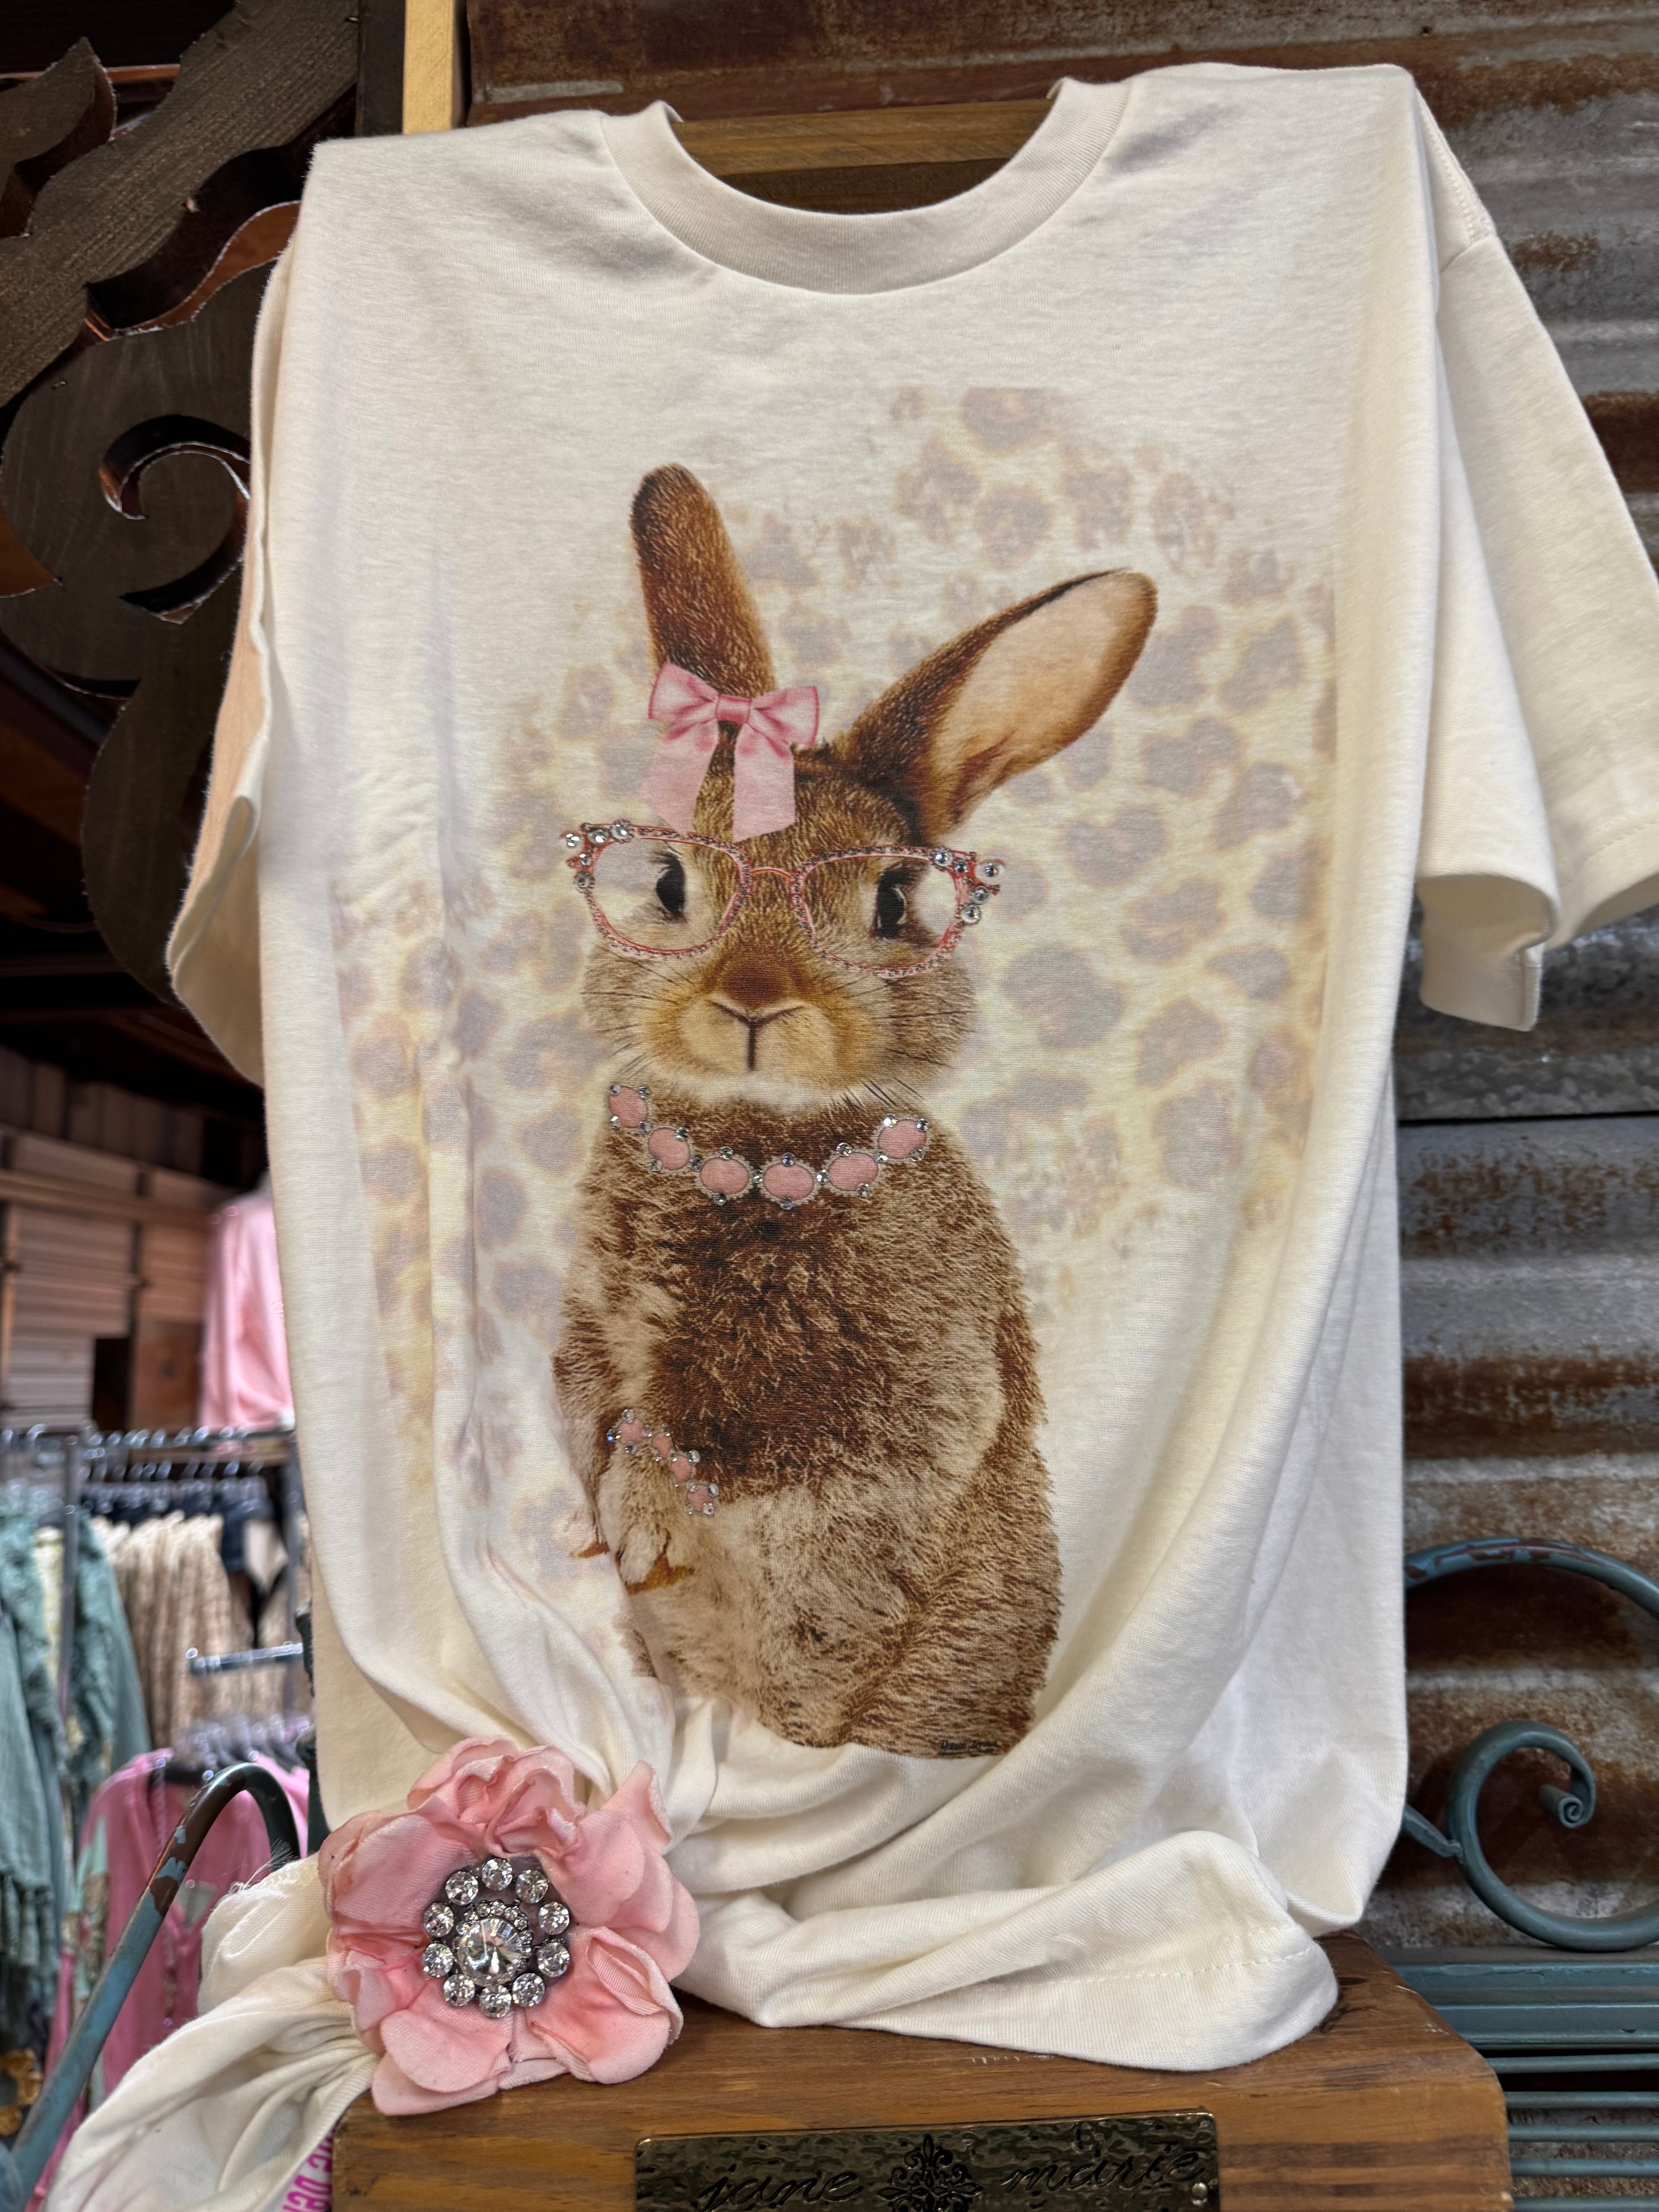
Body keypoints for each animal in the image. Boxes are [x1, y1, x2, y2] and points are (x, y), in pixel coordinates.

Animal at [553, 465, 1156, 1759]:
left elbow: (750, 1466)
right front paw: (615, 1527)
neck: (747, 1145)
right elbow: (602, 1416)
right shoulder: (590, 1334)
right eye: (668, 882)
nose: (752, 1002)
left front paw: (649, 1524)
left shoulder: (884, 1416)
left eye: (892, 902)